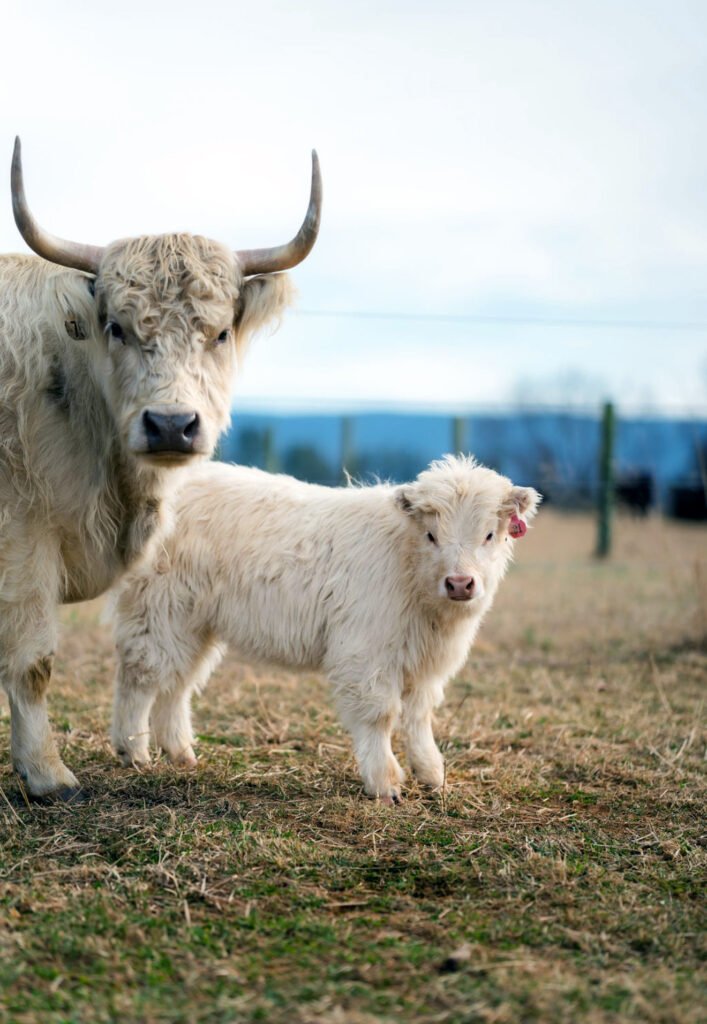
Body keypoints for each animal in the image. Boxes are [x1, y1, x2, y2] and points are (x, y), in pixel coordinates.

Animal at [0, 138, 322, 800]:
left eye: (220, 332)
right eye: (116, 327)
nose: (171, 424)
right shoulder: (24, 533)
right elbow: (34, 658)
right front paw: (46, 773)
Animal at [111, 456, 540, 804]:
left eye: (489, 534)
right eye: (432, 535)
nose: (460, 583)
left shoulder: (425, 664)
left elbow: (419, 717)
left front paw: (432, 775)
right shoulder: (366, 654)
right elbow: (380, 715)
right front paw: (385, 784)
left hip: (193, 626)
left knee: (177, 684)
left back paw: (181, 754)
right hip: (157, 614)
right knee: (141, 679)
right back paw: (134, 753)